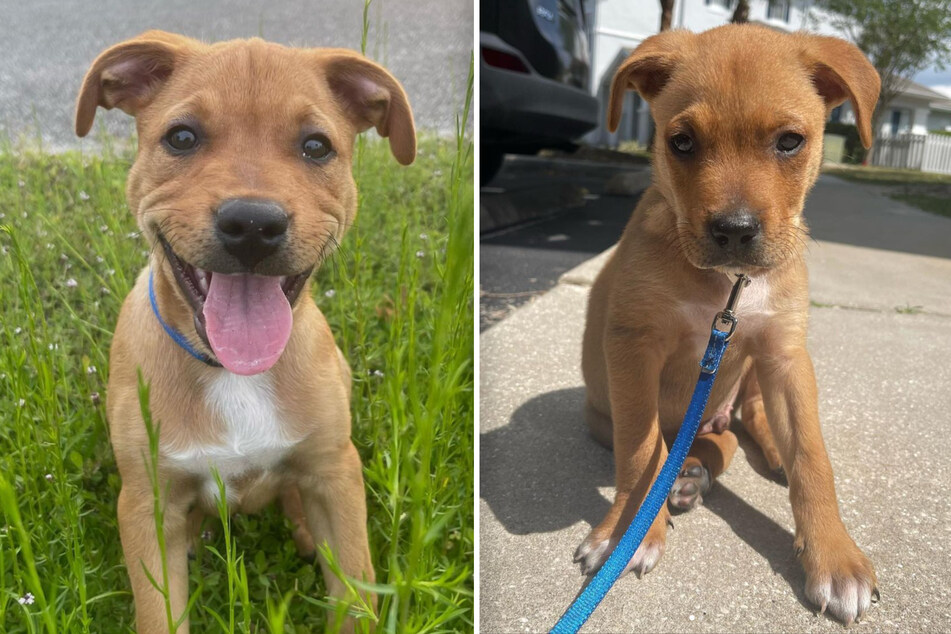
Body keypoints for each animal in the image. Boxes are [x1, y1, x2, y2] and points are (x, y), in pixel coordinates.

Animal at [72, 30, 414, 632]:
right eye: (182, 137)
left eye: (316, 147)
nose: (253, 224)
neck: (233, 373)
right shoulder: (147, 505)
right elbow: (159, 612)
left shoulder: (335, 478)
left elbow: (356, 594)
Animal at [584, 24, 880, 624]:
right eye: (681, 142)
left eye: (790, 141)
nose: (735, 231)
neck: (730, 287)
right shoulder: (632, 346)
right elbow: (640, 447)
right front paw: (629, 531)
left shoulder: (785, 354)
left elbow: (813, 457)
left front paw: (835, 557)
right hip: (601, 413)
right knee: (674, 444)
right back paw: (683, 478)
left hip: (752, 379)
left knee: (745, 426)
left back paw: (725, 462)